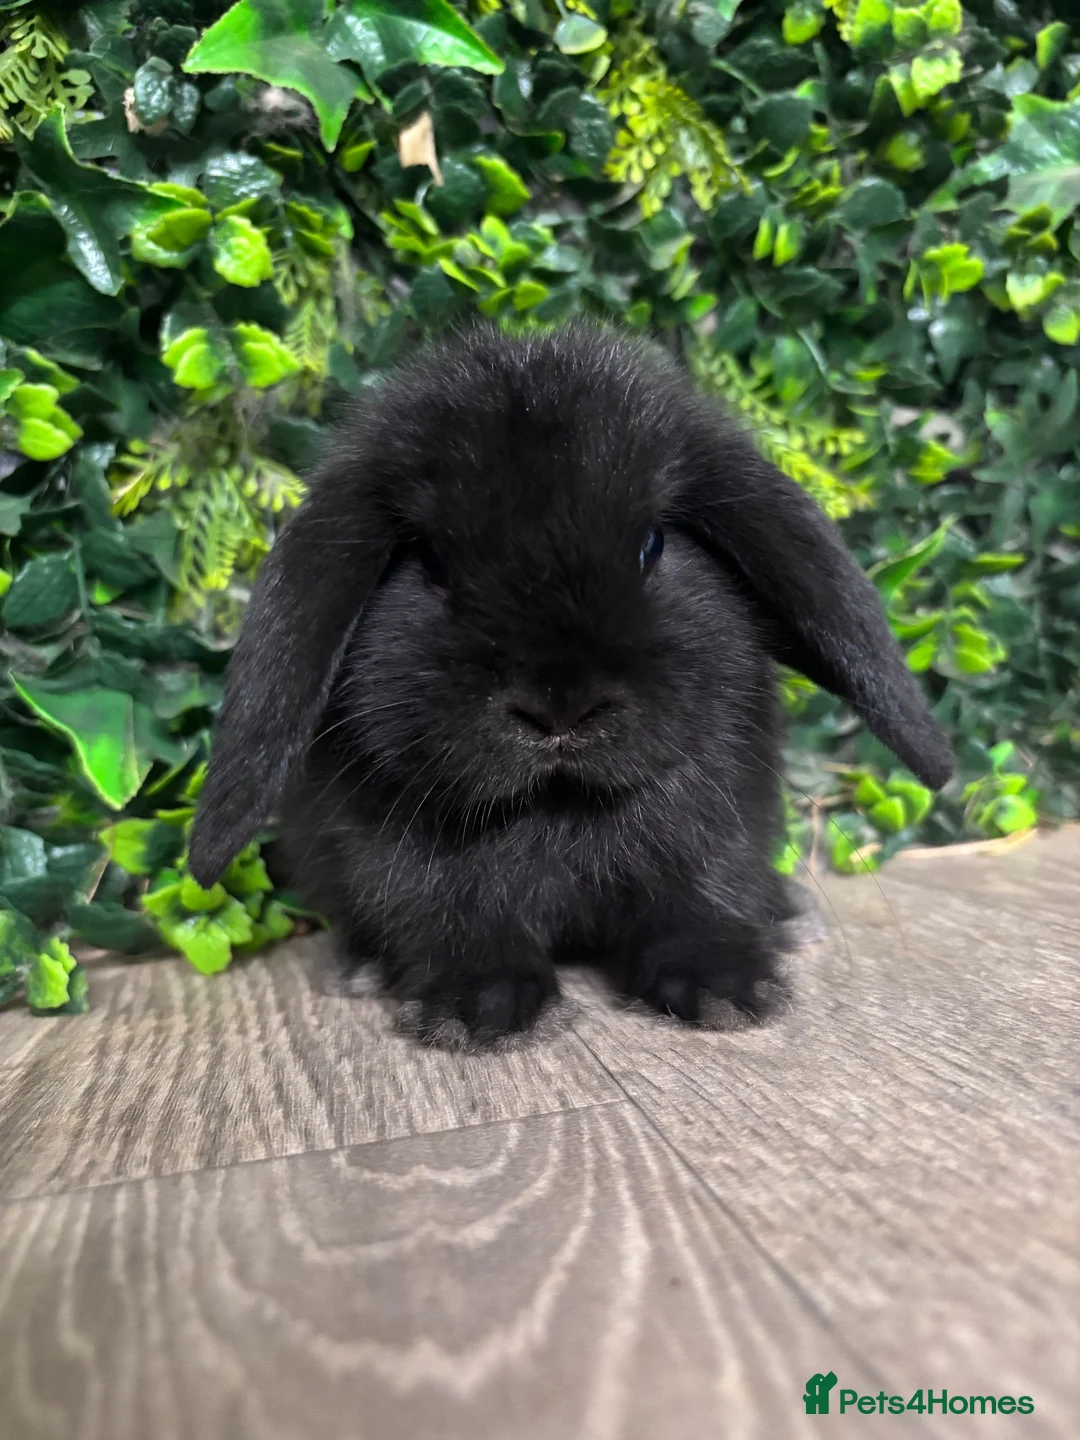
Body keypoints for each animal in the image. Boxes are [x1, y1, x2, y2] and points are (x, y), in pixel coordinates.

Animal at [188, 321, 953, 1045]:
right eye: (432, 561)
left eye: (651, 545)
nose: (560, 709)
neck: (559, 810)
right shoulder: (402, 860)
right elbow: (451, 919)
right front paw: (476, 1011)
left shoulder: (712, 831)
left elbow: (698, 903)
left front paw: (727, 991)